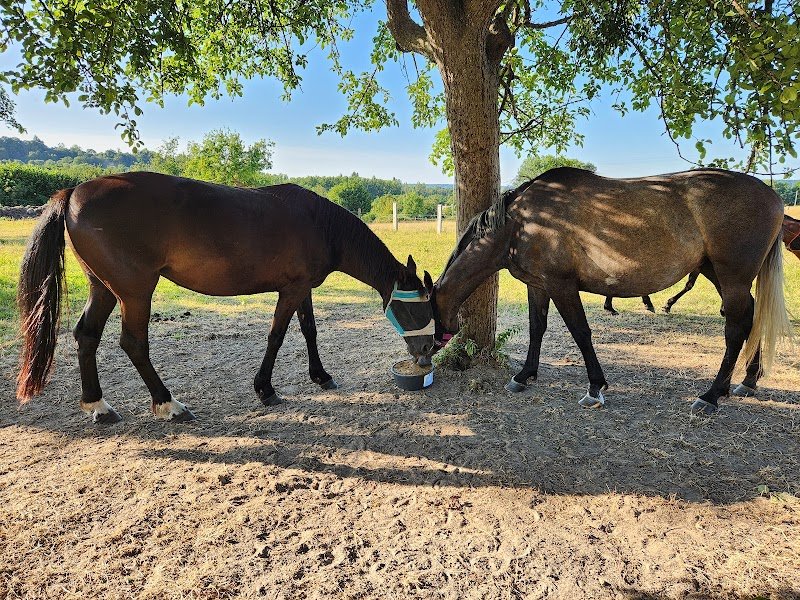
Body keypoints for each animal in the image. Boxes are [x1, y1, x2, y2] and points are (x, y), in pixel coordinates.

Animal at [17, 172, 435, 423]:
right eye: (416, 310)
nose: (426, 352)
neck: (319, 223)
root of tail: (73, 191)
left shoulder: (302, 289)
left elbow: (310, 331)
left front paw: (321, 376)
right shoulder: (291, 290)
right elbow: (277, 336)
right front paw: (265, 389)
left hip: (103, 288)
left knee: (86, 336)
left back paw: (99, 405)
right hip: (135, 292)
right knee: (133, 343)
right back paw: (168, 404)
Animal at [431, 167, 791, 415]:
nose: (424, 358)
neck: (525, 222)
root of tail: (773, 197)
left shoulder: (562, 286)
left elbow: (580, 332)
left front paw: (595, 387)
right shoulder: (538, 286)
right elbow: (537, 328)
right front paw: (524, 375)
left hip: (732, 278)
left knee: (736, 329)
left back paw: (711, 395)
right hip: (715, 273)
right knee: (752, 319)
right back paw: (747, 380)